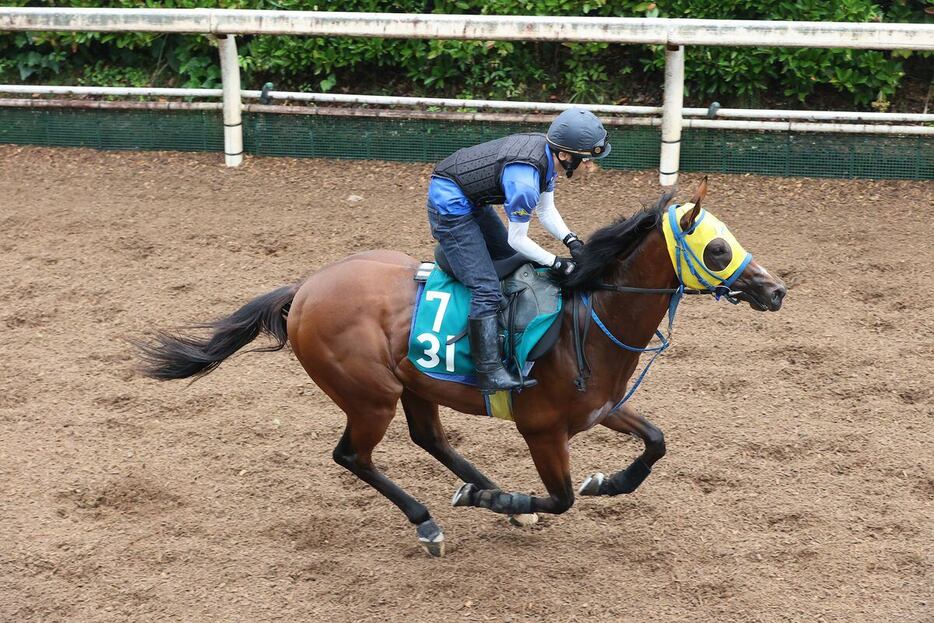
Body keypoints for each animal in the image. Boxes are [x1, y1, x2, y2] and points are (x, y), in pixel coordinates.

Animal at [137, 179, 784, 556]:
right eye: (717, 249)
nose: (775, 291)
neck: (589, 314)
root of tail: (305, 290)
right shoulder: (542, 429)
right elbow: (563, 498)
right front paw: (503, 503)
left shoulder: (602, 408)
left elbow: (656, 442)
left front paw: (606, 481)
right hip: (369, 396)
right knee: (353, 456)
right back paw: (433, 520)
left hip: (414, 385)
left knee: (429, 438)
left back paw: (482, 489)